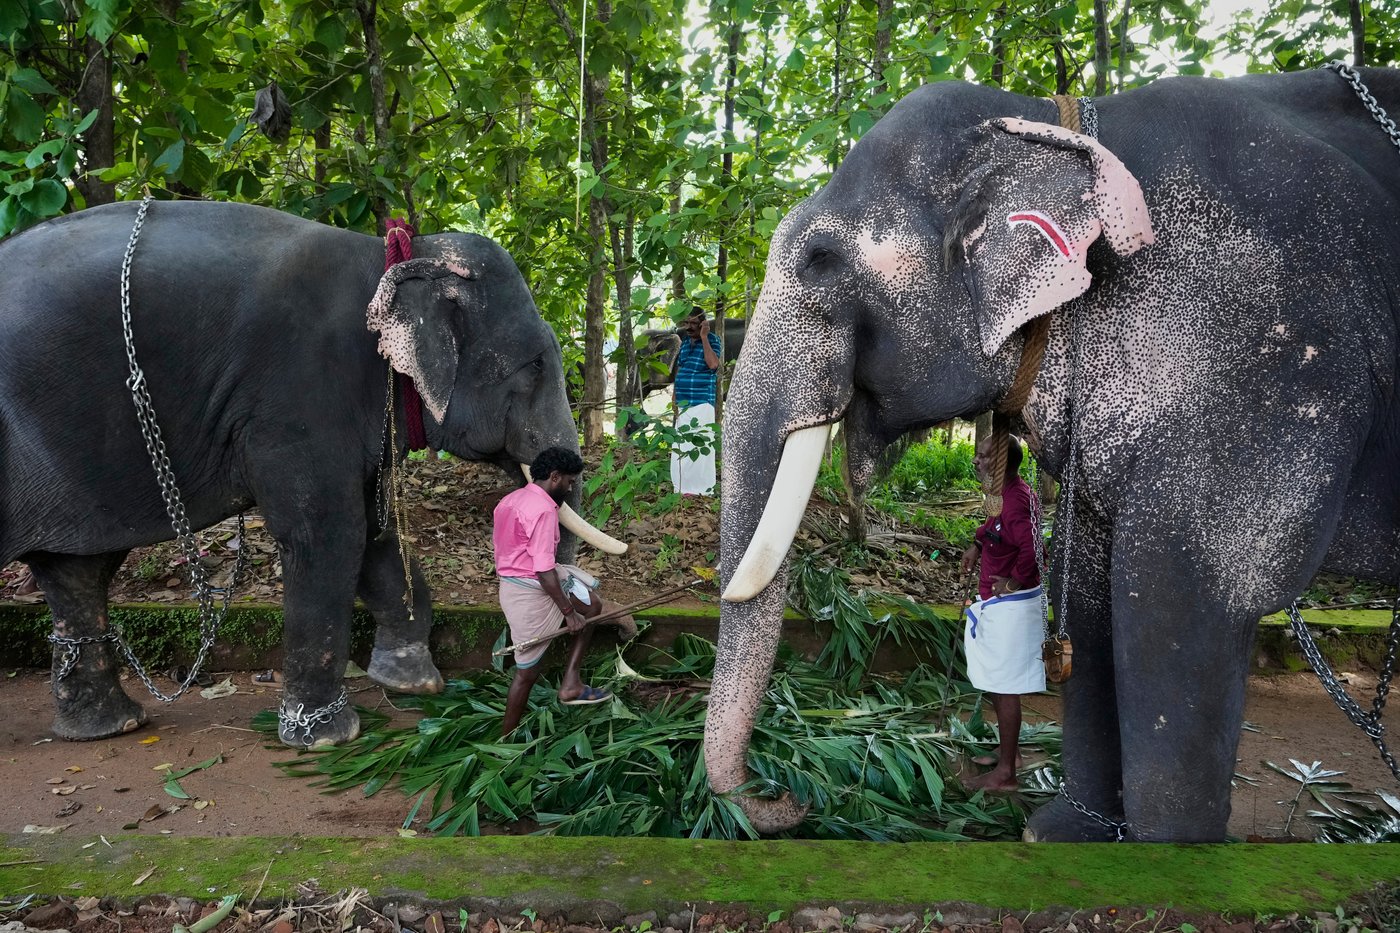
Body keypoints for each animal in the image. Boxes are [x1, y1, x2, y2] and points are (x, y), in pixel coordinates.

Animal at [0, 199, 623, 748]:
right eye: (535, 365)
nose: (580, 605)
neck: (393, 257)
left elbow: (374, 531)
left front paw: (413, 683)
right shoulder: (297, 393)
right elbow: (328, 533)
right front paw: (326, 737)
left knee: (77, 571)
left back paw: (111, 726)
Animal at [706, 67, 1400, 842]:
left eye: (819, 259)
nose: (789, 796)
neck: (1043, 122)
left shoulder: (1268, 360)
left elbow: (1179, 591)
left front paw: (1173, 859)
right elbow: (1092, 583)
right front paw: (1065, 833)